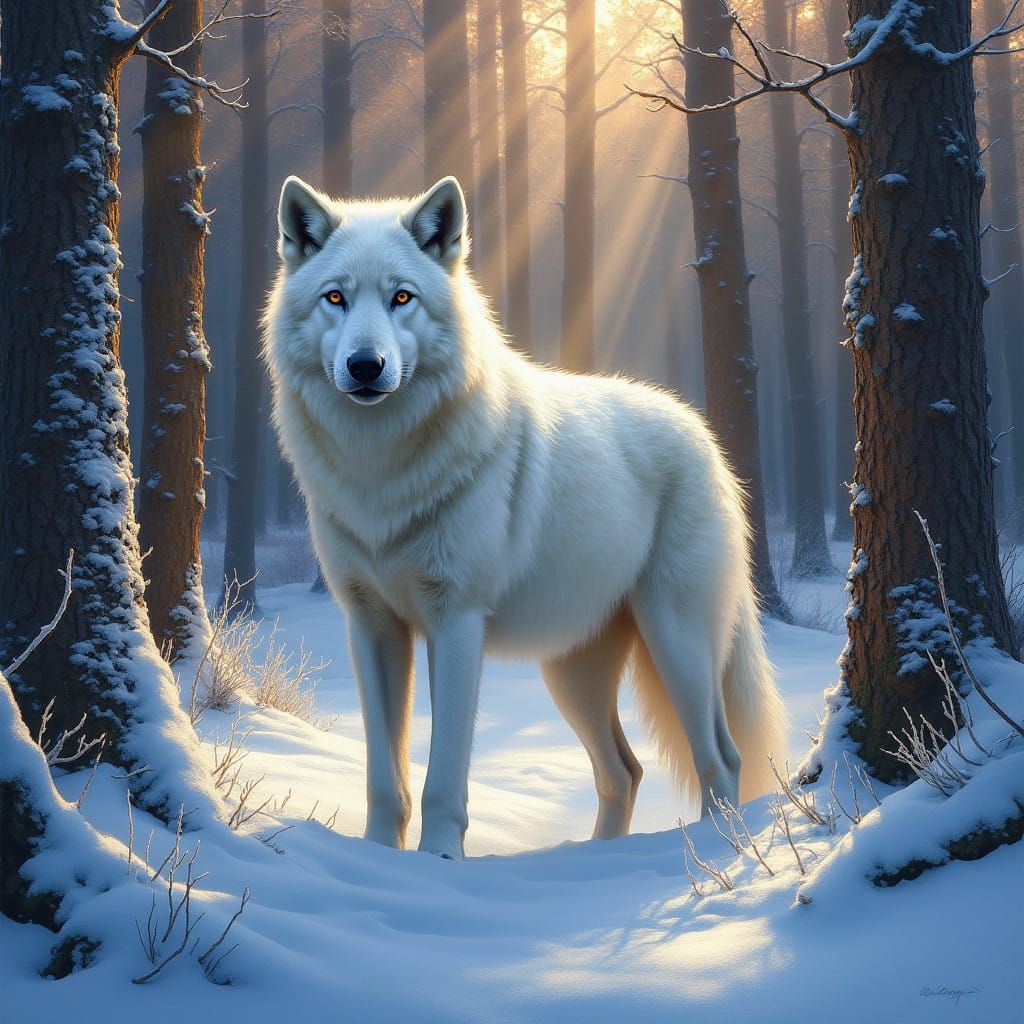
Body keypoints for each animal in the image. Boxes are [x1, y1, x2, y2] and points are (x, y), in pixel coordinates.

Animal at [264, 174, 789, 859]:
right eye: (335, 298)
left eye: (402, 298)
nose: (365, 365)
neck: (381, 471)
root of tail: (705, 437)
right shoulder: (370, 625)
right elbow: (386, 778)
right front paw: (380, 860)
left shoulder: (457, 622)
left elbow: (442, 777)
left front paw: (440, 863)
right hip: (572, 674)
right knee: (624, 770)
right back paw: (597, 858)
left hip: (678, 644)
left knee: (722, 760)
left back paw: (707, 857)